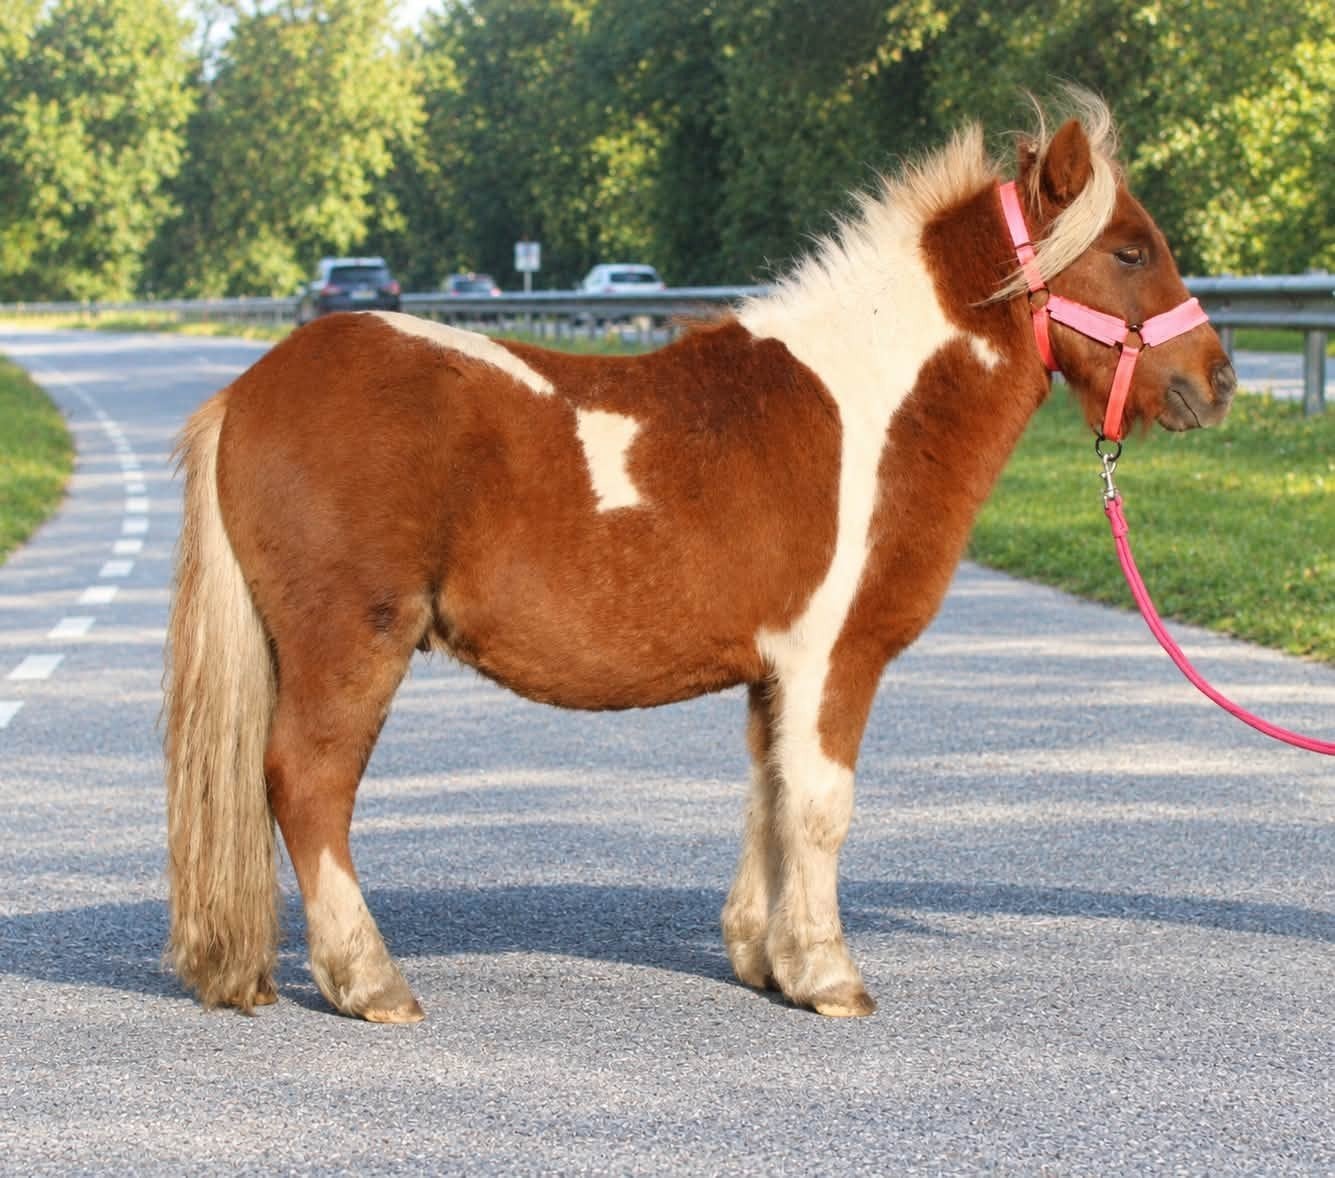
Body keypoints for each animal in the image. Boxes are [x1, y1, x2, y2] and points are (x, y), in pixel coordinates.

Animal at [164, 91, 1236, 1023]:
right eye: (1130, 250)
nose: (1217, 379)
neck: (867, 406)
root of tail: (249, 392)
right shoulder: (834, 659)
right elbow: (821, 807)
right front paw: (828, 976)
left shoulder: (774, 673)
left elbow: (770, 797)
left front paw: (765, 960)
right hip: (352, 644)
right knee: (307, 784)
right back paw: (371, 982)